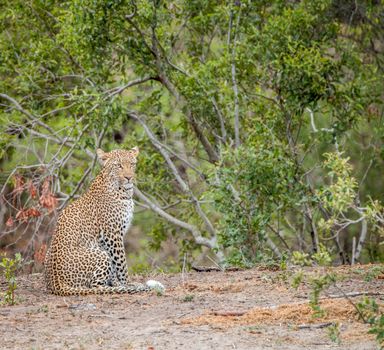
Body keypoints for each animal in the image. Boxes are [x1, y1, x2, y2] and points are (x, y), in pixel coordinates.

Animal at [44, 147, 164, 296]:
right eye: (118, 165)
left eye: (132, 164)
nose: (129, 177)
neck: (124, 191)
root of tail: (56, 284)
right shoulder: (113, 233)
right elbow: (121, 263)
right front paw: (127, 283)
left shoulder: (107, 240)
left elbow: (114, 266)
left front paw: (118, 282)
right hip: (100, 254)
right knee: (95, 287)